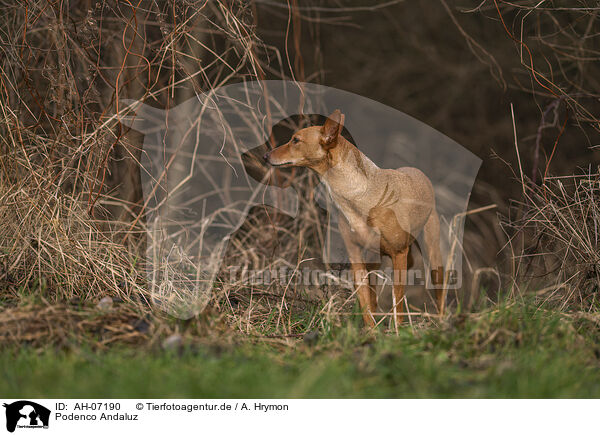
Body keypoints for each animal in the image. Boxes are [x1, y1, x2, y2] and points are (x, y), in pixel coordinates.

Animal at [264, 110, 446, 328]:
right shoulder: (356, 258)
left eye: (295, 140)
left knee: (439, 294)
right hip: (374, 261)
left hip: (433, 255)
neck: (358, 197)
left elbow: (398, 303)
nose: (265, 156)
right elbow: (365, 301)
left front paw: (397, 330)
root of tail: (418, 172)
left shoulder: (399, 254)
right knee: (373, 295)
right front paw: (372, 331)